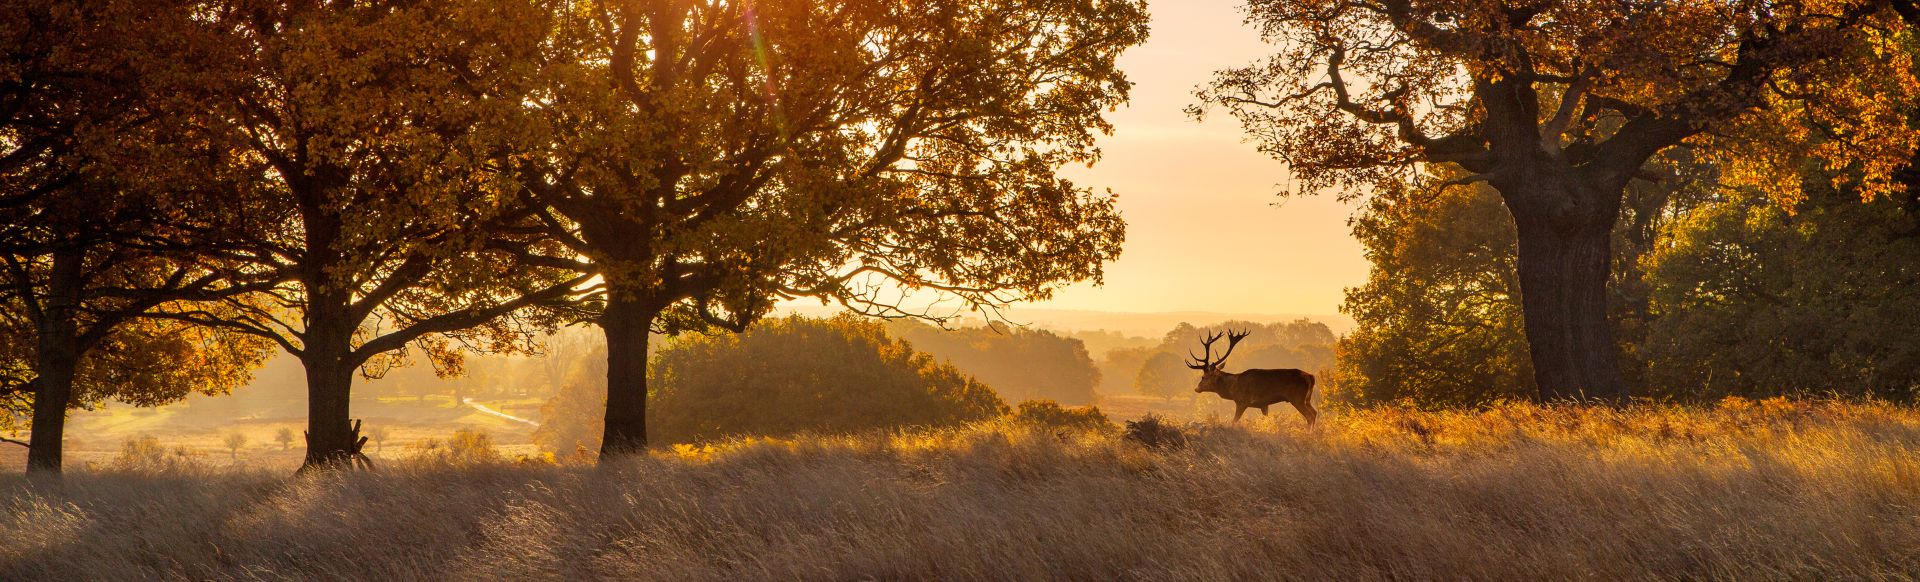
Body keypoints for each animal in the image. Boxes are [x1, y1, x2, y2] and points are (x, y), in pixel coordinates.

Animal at [1188, 329, 1318, 426]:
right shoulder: (1264, 404)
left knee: (1310, 416)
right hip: (1307, 398)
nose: (1196, 388)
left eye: (1203, 376)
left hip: (1297, 398)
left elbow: (1234, 421)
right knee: (1315, 412)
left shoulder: (1242, 401)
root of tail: (1311, 377)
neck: (1233, 389)